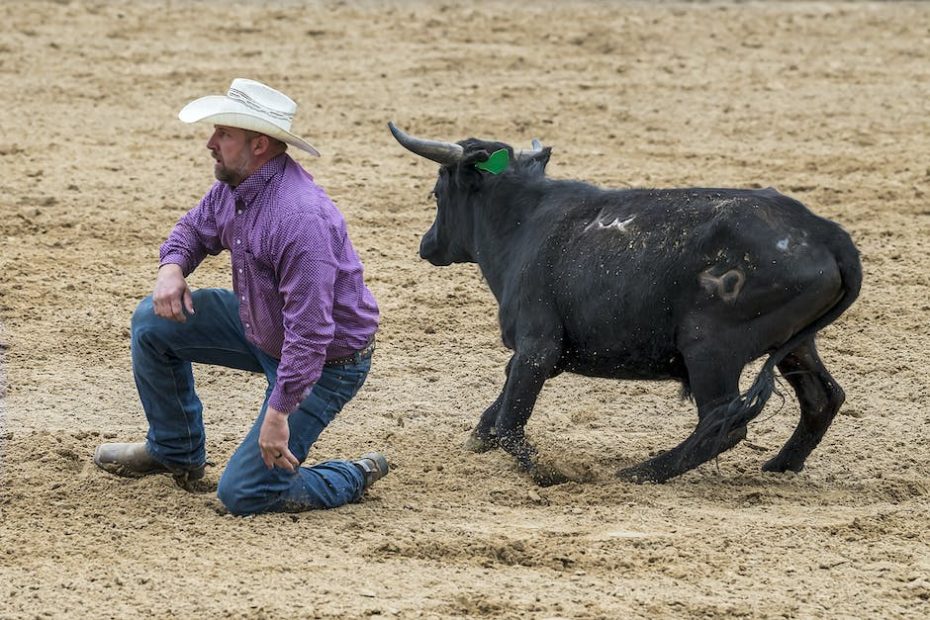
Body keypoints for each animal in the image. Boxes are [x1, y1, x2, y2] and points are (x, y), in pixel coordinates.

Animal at [388, 122, 860, 484]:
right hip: (795, 345)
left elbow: (509, 421)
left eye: (437, 194)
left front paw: (547, 473)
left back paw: (641, 472)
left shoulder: (537, 348)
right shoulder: (535, 355)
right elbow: (499, 408)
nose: (427, 245)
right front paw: (477, 441)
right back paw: (781, 464)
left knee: (723, 425)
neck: (524, 223)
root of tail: (824, 233)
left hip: (710, 349)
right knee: (822, 398)